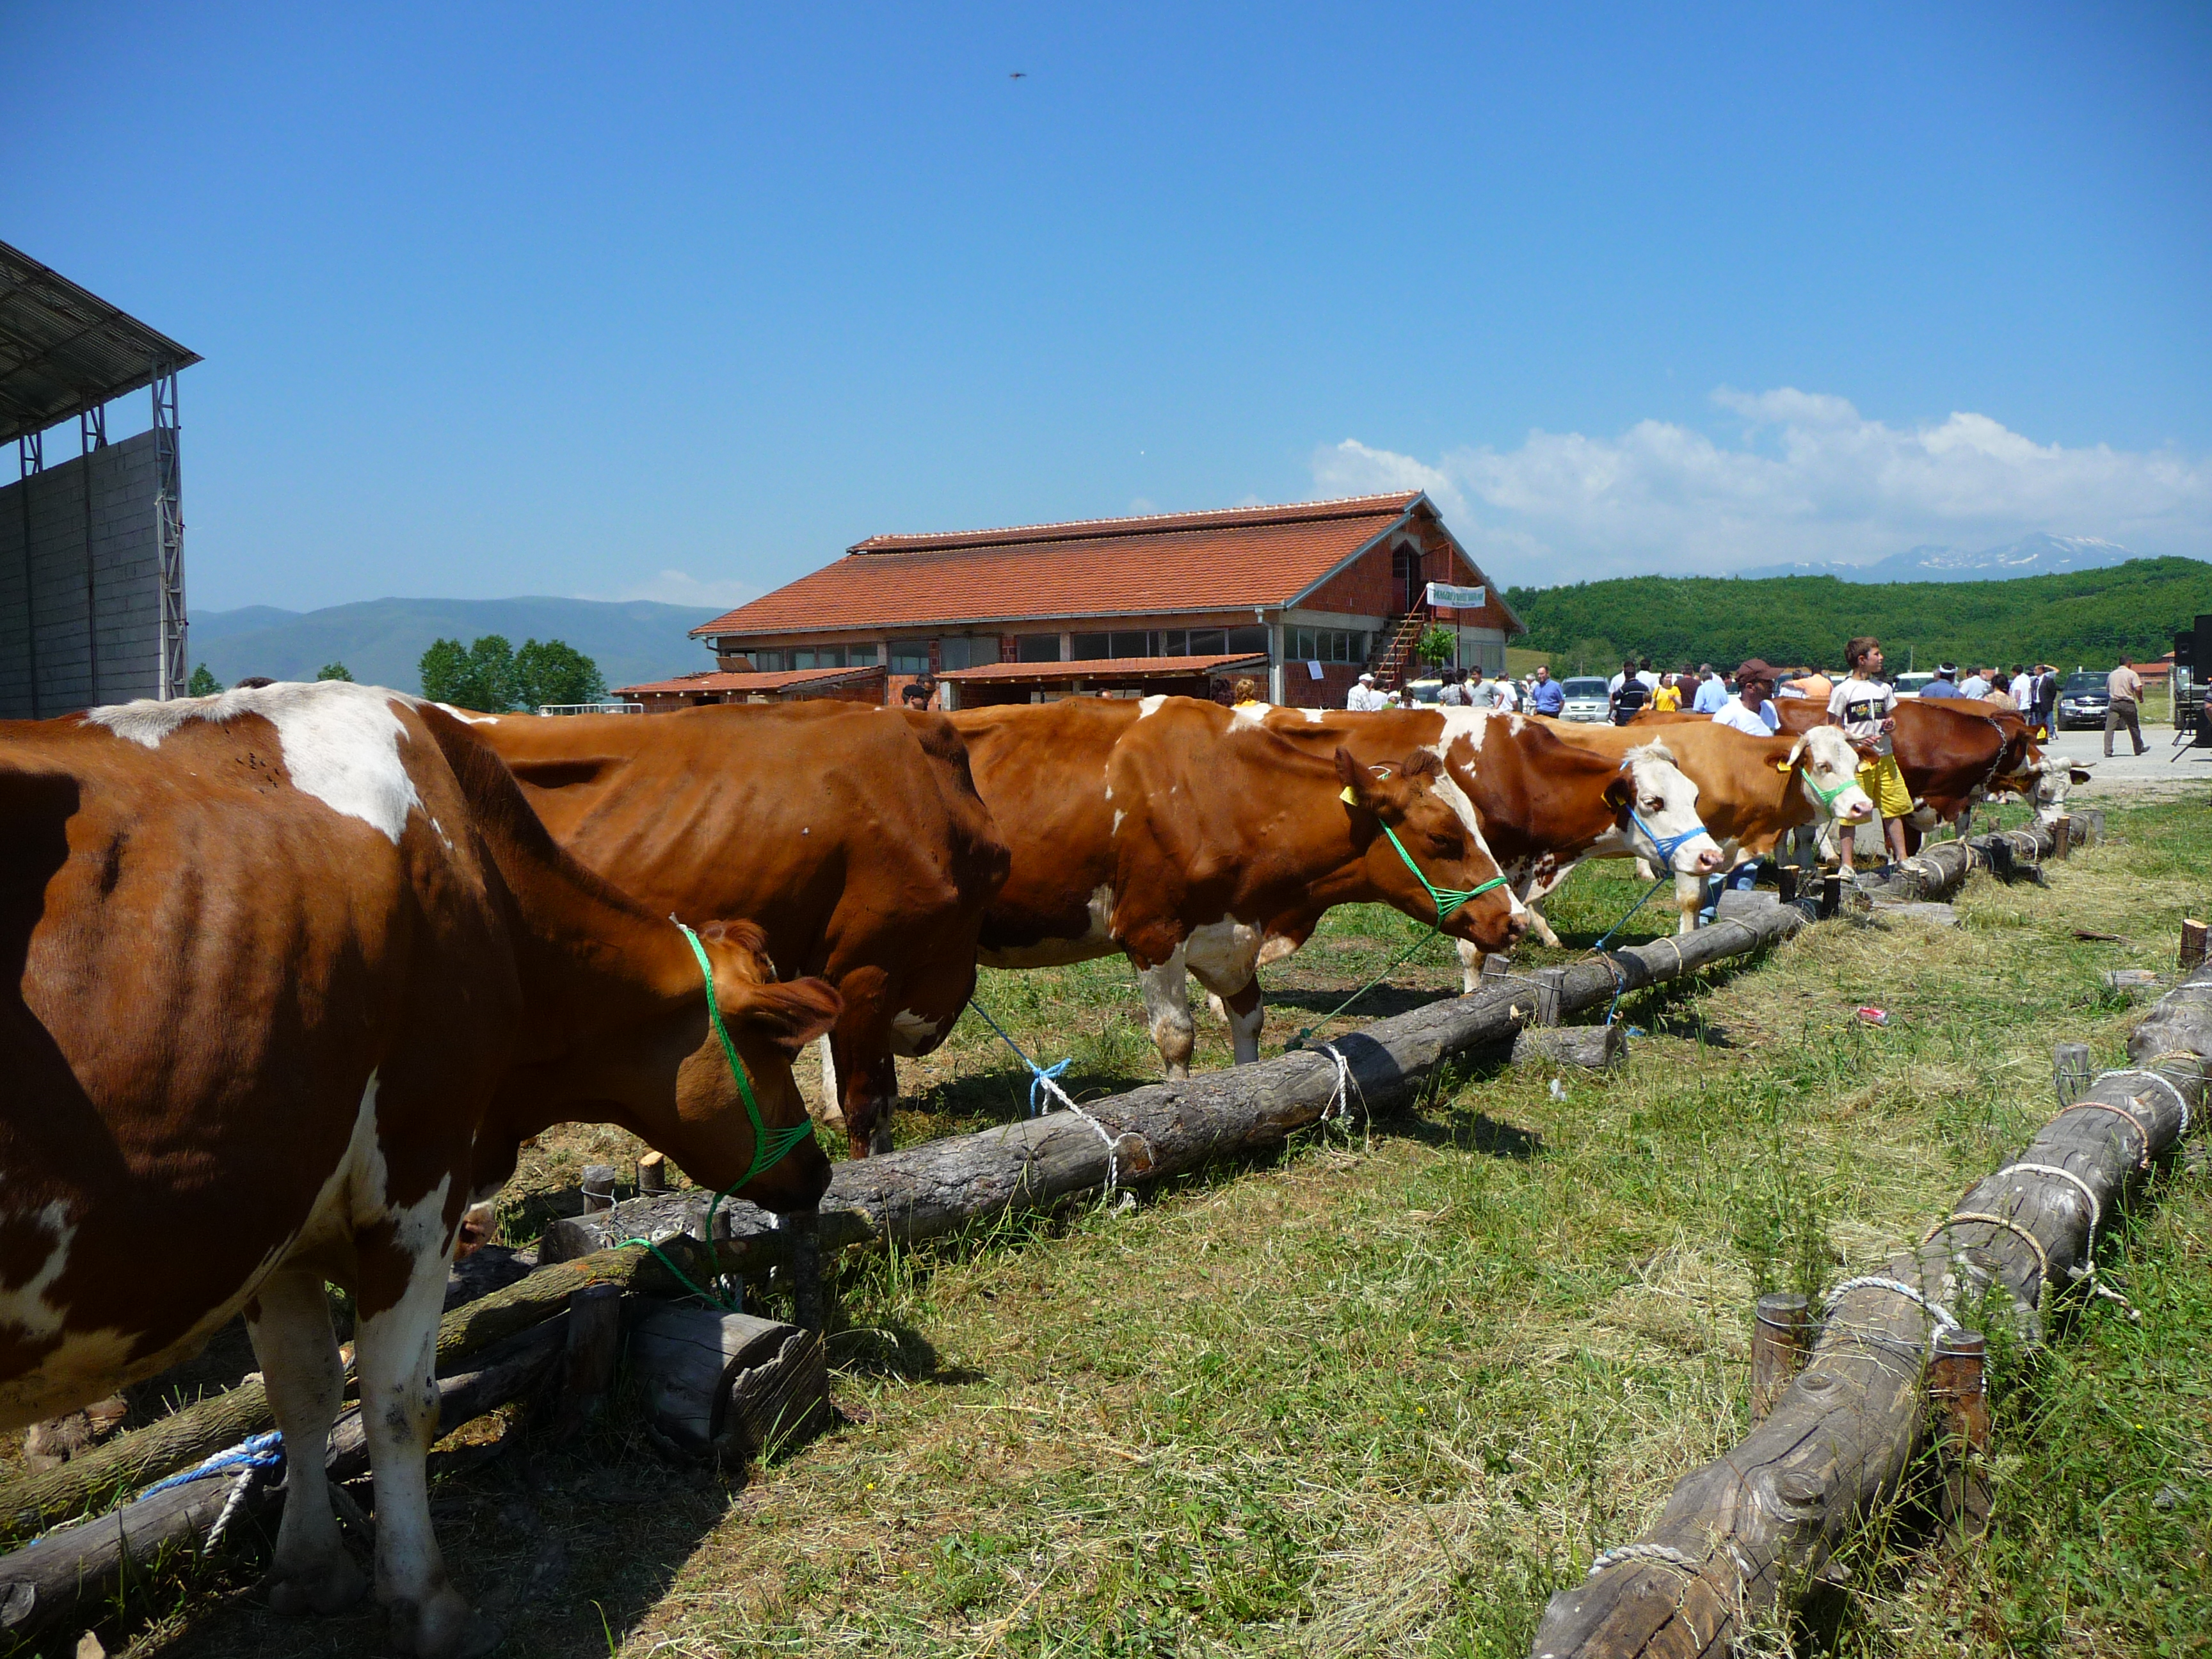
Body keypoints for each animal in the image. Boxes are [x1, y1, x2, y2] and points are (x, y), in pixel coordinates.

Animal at [0, 681, 836, 1655]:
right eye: (772, 1041)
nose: (816, 1173)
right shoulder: (420, 1172)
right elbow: (399, 1399)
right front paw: (423, 1600)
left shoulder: (275, 1209)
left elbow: (303, 1390)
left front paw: (311, 1571)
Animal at [959, 694, 1530, 1070]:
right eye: (1443, 838)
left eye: (1477, 825)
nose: (1517, 921)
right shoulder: (1150, 931)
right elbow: (1176, 1038)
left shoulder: (1233, 936)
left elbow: (1249, 1021)